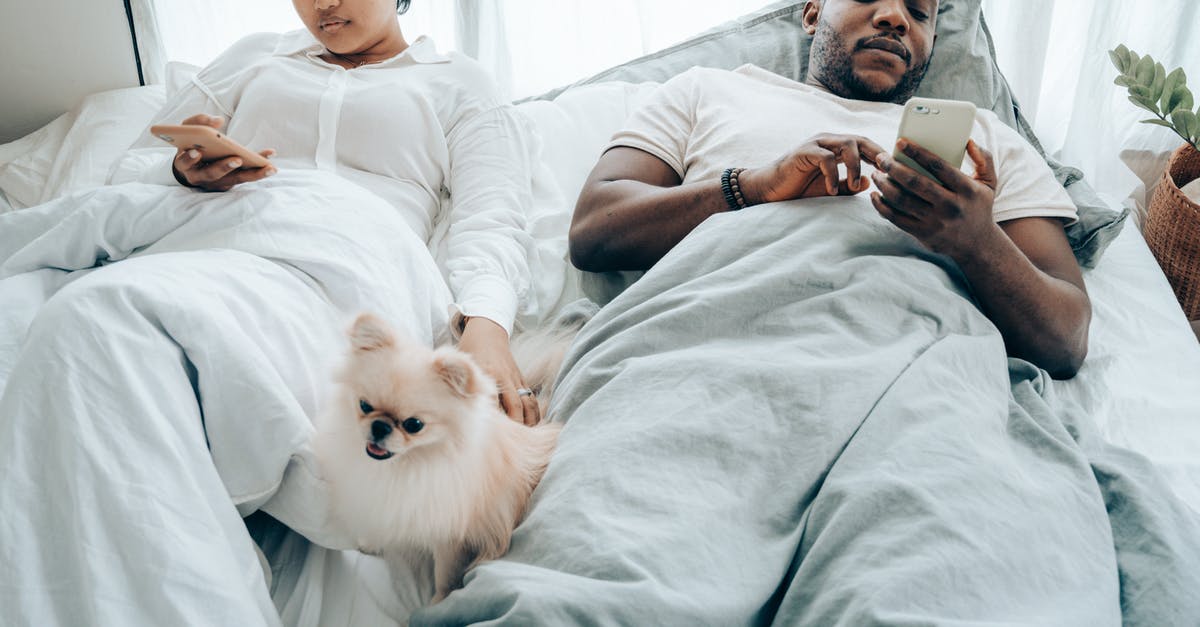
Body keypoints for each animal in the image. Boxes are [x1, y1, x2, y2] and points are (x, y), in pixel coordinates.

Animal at [314, 312, 566, 600]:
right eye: (364, 405)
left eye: (414, 425)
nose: (379, 427)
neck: (408, 465)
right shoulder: (385, 504)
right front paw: (371, 543)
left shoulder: (451, 538)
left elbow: (445, 573)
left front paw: (439, 601)